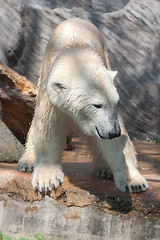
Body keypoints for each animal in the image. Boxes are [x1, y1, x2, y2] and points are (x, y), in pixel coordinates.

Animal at [18, 18, 149, 193]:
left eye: (114, 102)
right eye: (97, 105)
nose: (113, 132)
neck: (75, 52)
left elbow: (118, 142)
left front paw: (134, 182)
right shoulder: (52, 97)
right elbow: (48, 127)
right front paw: (47, 180)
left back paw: (104, 168)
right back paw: (28, 162)